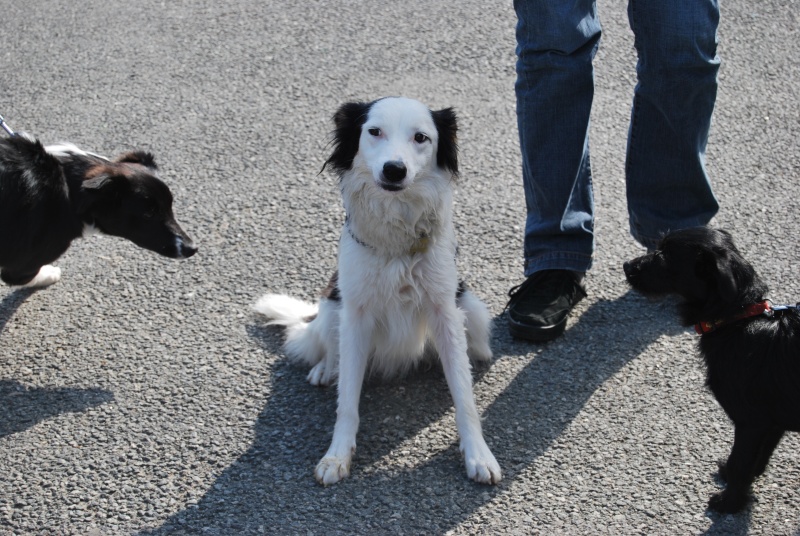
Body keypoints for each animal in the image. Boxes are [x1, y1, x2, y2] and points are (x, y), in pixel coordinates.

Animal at [0, 133, 198, 286]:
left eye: (170, 205)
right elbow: (24, 277)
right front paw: (49, 274)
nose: (192, 248)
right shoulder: (23, 265)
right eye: (149, 213)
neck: (68, 190)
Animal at [253, 96, 500, 486]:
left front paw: (478, 455)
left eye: (421, 137)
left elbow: (464, 396)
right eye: (374, 131)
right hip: (331, 308)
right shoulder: (354, 315)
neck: (396, 236)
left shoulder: (445, 311)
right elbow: (347, 400)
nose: (394, 170)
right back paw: (325, 368)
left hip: (471, 306)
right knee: (327, 349)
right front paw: (337, 455)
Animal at [624, 225, 800, 510]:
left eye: (665, 255)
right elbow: (758, 456)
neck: (737, 319)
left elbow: (740, 462)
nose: (627, 266)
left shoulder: (752, 422)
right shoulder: (772, 424)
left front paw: (730, 502)